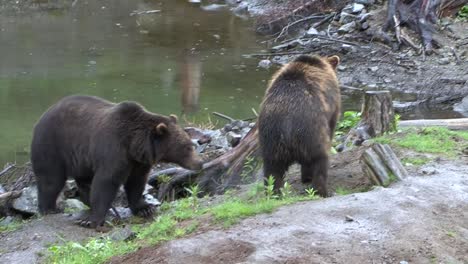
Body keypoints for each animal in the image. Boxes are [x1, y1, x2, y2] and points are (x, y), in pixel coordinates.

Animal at [30, 95, 203, 229]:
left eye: (191, 144)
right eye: (187, 147)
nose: (200, 162)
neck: (134, 144)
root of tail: (42, 116)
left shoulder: (139, 161)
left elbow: (136, 182)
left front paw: (144, 208)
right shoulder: (113, 150)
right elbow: (106, 181)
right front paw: (91, 220)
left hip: (81, 158)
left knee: (83, 180)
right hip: (52, 145)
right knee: (51, 179)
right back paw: (49, 208)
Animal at [258, 54, 342, 197]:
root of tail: (286, 127)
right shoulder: (331, 103)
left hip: (270, 140)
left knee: (272, 171)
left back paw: (275, 193)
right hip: (312, 133)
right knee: (319, 160)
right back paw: (322, 190)